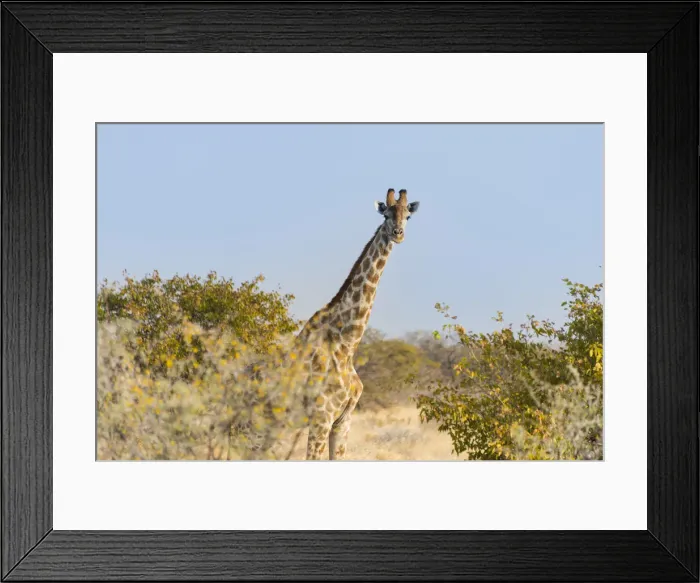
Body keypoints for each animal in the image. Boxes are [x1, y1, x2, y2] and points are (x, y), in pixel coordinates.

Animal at [292, 188, 420, 460]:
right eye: (386, 214)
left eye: (408, 216)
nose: (398, 234)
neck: (346, 345)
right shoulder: (321, 418)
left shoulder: (343, 421)